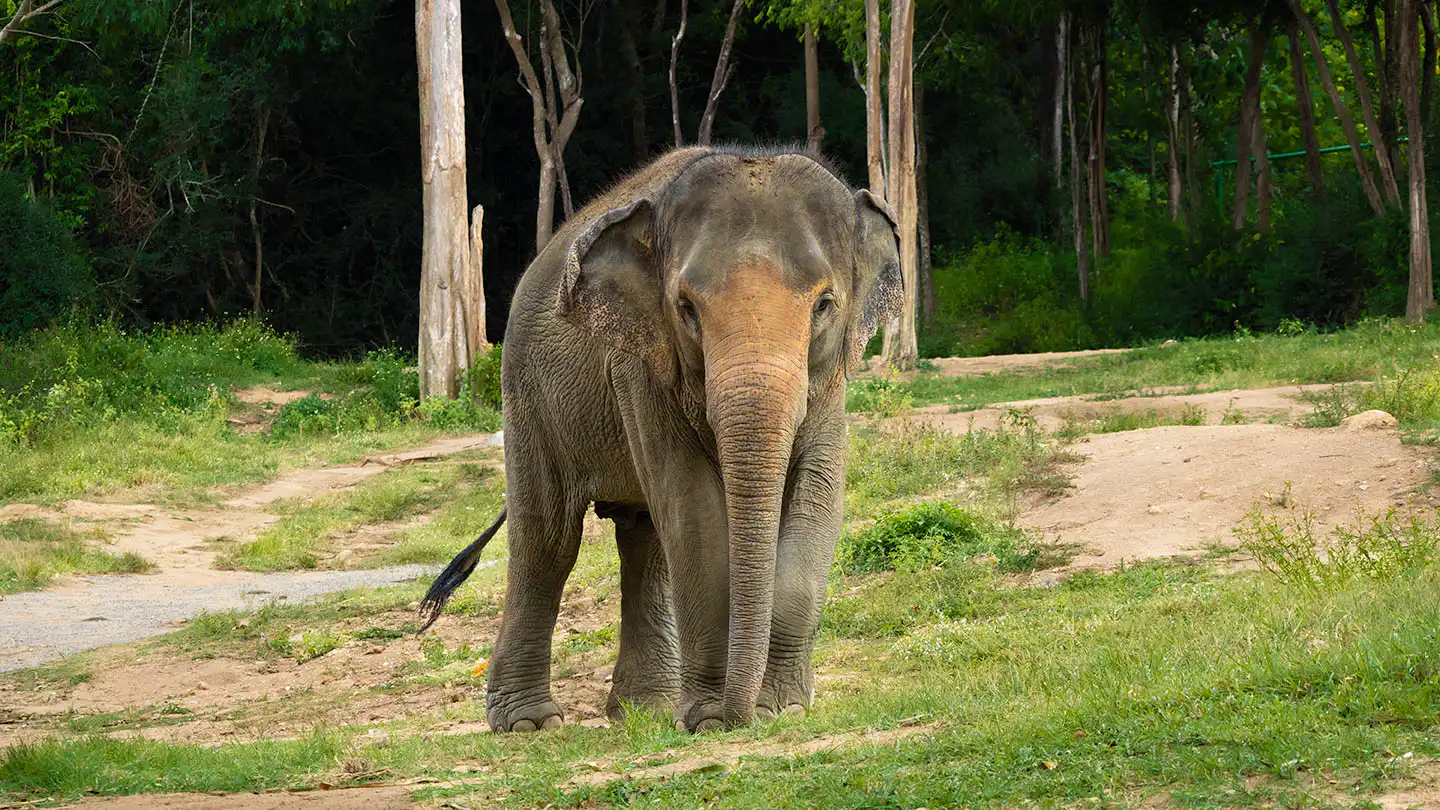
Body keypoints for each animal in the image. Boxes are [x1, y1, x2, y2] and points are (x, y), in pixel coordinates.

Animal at [419, 145, 903, 734]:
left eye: (824, 304)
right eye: (687, 309)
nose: (743, 716)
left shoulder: (830, 382)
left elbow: (817, 495)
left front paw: (783, 709)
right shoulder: (639, 367)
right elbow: (694, 511)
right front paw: (711, 720)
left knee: (643, 539)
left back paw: (641, 712)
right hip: (526, 394)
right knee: (548, 541)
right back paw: (529, 725)